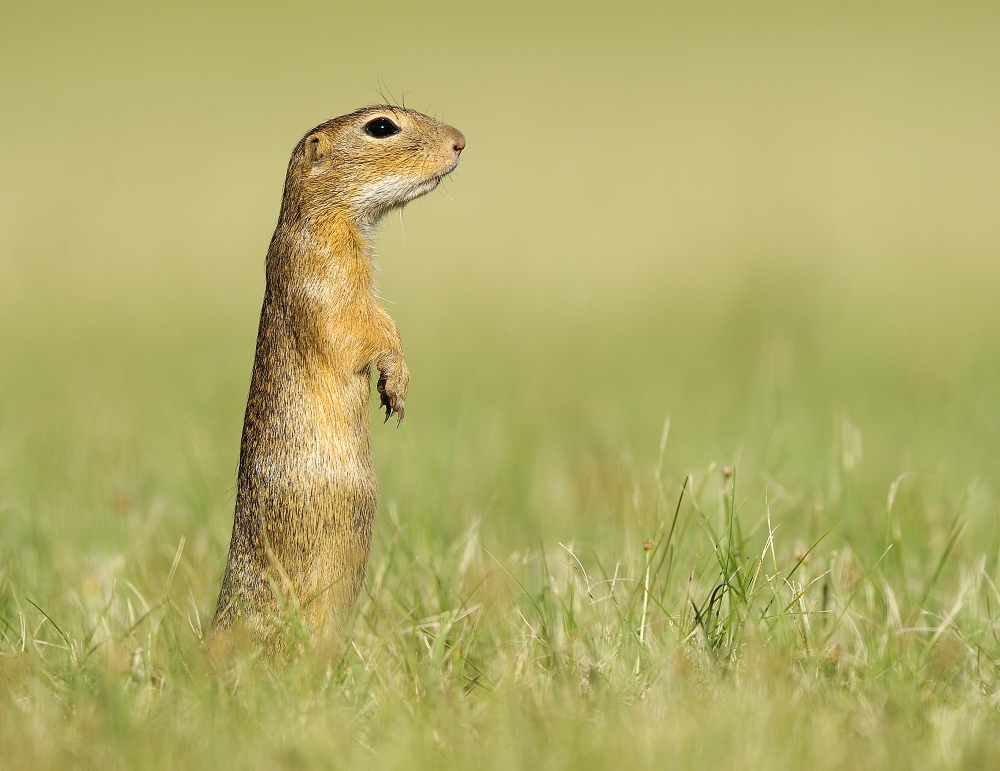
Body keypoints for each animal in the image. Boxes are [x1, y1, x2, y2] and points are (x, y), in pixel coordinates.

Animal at [212, 105, 468, 656]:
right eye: (381, 127)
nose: (460, 141)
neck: (327, 218)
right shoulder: (325, 275)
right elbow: (364, 328)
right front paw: (396, 381)